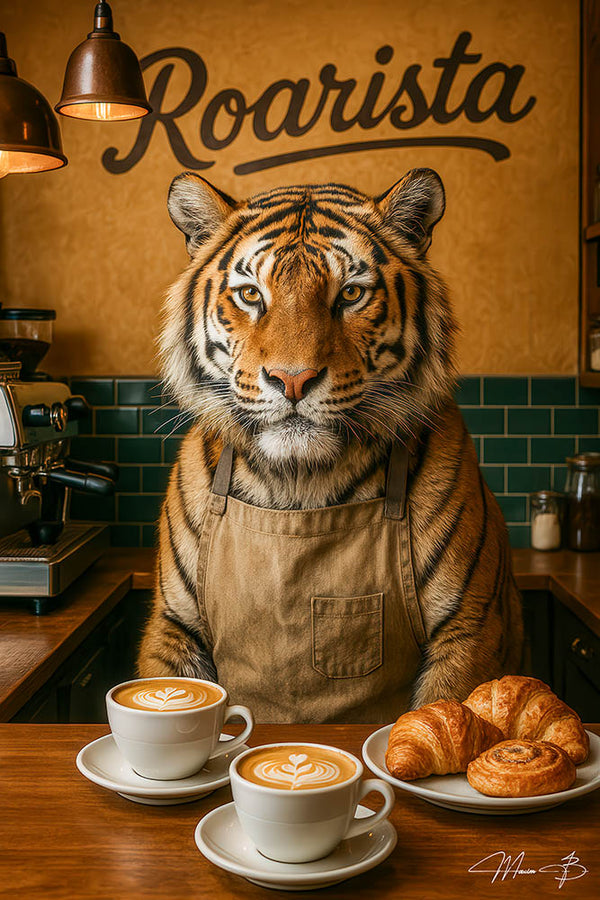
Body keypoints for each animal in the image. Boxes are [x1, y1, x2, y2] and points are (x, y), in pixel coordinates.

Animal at [138, 167, 523, 712]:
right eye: (251, 295)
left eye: (351, 294)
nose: (292, 379)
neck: (299, 481)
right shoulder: (174, 626)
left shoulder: (469, 628)